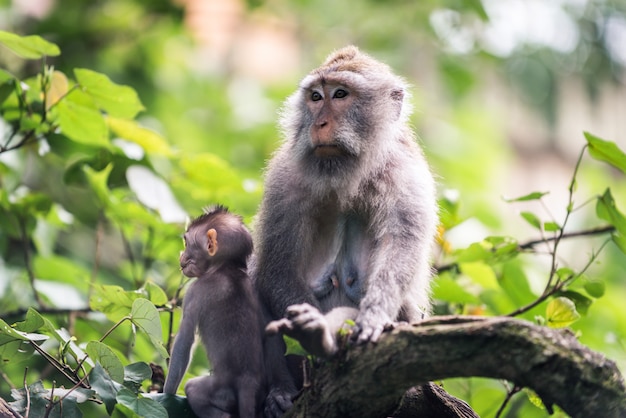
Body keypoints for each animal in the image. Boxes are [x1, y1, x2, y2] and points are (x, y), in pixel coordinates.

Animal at [163, 207, 264, 418]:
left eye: (187, 242)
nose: (181, 256)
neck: (225, 267)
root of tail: (248, 383)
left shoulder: (195, 292)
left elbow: (185, 339)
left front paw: (166, 393)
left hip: (220, 391)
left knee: (194, 390)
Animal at [251, 46, 436, 414]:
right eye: (315, 97)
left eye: (340, 94)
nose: (320, 123)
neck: (345, 174)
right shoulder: (284, 179)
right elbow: (275, 270)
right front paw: (313, 334)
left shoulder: (407, 174)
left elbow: (401, 248)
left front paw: (373, 316)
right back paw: (280, 390)